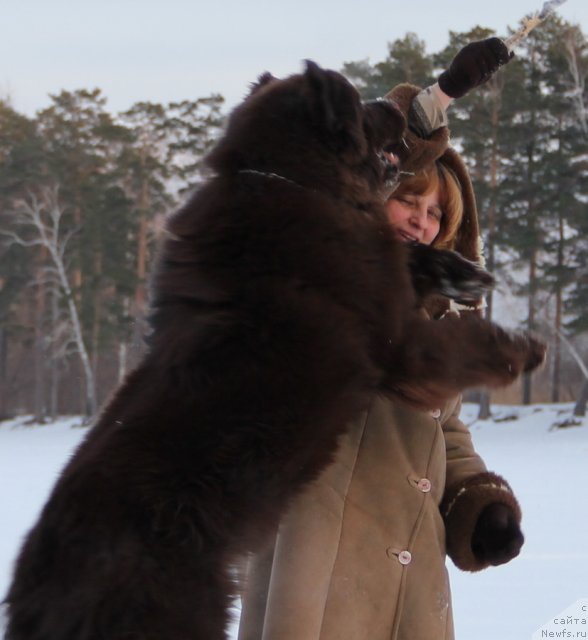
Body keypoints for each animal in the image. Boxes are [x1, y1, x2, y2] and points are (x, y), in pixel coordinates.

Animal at [4, 61, 548, 640]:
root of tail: (36, 592)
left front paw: (460, 271)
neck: (288, 178)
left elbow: (408, 258)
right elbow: (456, 345)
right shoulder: (394, 339)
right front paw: (522, 348)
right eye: (359, 105)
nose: (395, 106)